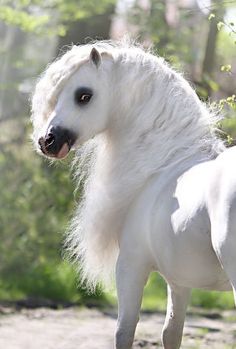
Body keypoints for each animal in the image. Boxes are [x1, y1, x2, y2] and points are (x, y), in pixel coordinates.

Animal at [31, 41, 236, 348]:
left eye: (83, 95)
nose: (48, 141)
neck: (165, 163)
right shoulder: (179, 281)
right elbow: (171, 333)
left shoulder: (130, 265)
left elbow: (124, 330)